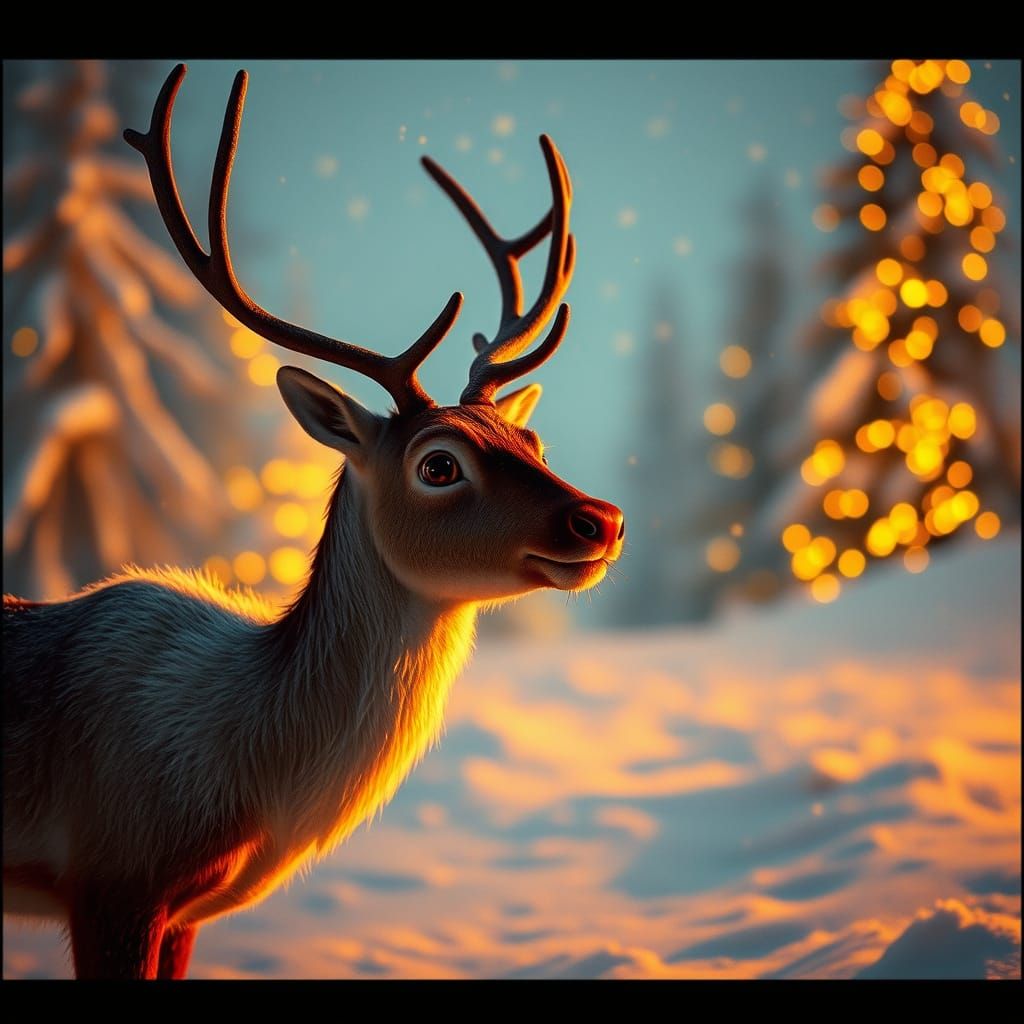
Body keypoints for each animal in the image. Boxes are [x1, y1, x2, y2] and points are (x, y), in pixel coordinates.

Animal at [2, 65, 624, 979]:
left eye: (532, 439)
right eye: (438, 463)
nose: (600, 519)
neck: (241, 768)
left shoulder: (179, 912)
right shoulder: (110, 875)